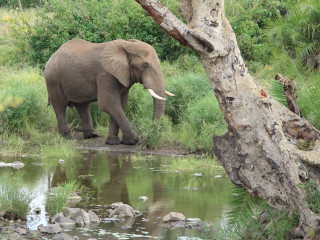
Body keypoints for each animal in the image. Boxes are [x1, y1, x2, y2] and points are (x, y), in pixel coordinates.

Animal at [44, 38, 174, 145]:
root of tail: (53, 54)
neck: (127, 45)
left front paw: (113, 142)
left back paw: (92, 136)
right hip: (53, 79)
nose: (146, 140)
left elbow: (120, 105)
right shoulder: (105, 75)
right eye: (145, 65)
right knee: (60, 107)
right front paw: (133, 141)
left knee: (83, 106)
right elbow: (109, 104)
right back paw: (67, 137)